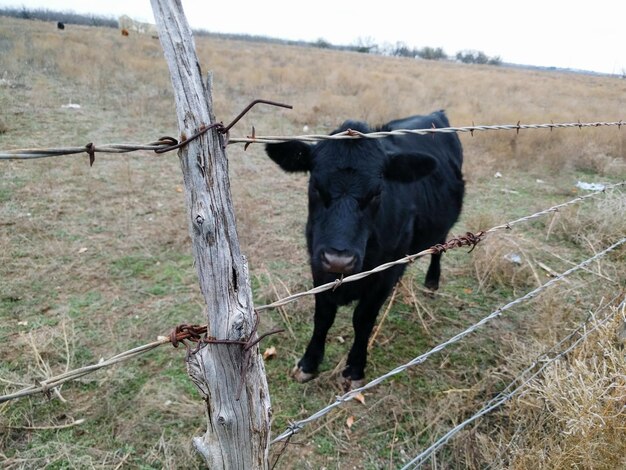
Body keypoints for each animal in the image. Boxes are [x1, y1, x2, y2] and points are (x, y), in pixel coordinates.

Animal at [264, 112, 464, 388]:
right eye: (315, 186)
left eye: (377, 192)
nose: (339, 259)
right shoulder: (318, 265)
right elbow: (323, 315)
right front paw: (308, 363)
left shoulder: (384, 272)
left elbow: (363, 319)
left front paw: (355, 369)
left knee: (439, 246)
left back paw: (432, 282)